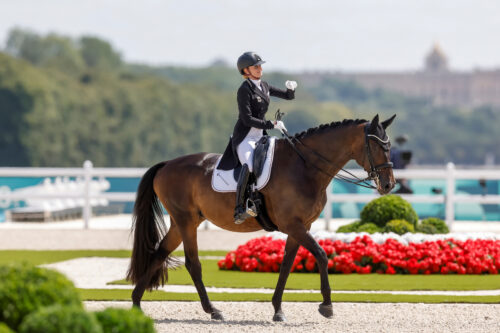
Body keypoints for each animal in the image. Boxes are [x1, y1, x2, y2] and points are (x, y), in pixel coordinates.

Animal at [127, 113, 396, 320]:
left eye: (389, 146)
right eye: (377, 146)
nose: (388, 185)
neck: (305, 167)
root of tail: (166, 165)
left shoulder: (301, 226)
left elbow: (286, 264)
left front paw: (278, 309)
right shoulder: (293, 225)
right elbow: (320, 254)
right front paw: (327, 306)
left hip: (182, 222)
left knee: (159, 253)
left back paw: (137, 303)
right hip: (186, 222)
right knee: (192, 263)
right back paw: (212, 310)